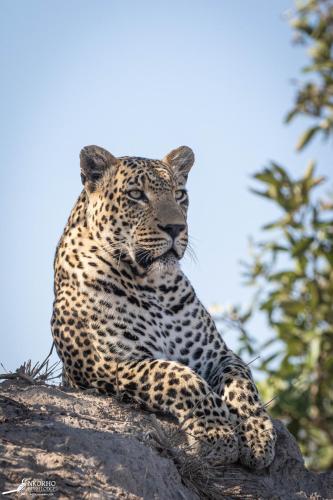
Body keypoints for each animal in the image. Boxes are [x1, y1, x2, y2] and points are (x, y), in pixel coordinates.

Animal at [51, 145, 274, 468]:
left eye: (179, 194)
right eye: (136, 194)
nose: (176, 227)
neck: (154, 285)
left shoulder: (218, 355)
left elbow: (243, 382)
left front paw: (258, 436)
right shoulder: (111, 363)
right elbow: (180, 377)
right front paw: (218, 435)